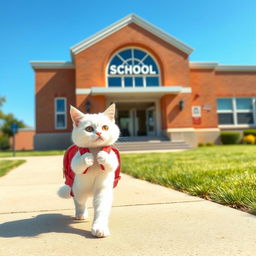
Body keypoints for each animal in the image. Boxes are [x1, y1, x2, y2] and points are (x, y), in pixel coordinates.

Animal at [58, 104, 121, 238]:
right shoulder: (75, 162)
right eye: (89, 129)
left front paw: (100, 228)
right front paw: (87, 158)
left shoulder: (103, 188)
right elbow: (77, 165)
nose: (99, 133)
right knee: (79, 202)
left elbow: (101, 208)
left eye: (105, 127)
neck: (95, 151)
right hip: (77, 189)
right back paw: (80, 214)